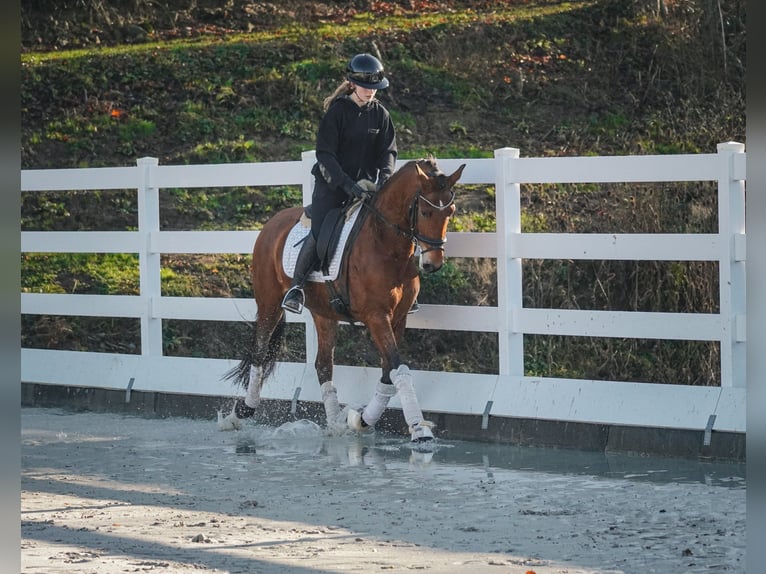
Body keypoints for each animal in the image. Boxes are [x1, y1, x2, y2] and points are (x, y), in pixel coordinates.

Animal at [218, 158, 468, 446]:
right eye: (426, 213)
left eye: (450, 211)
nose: (432, 264)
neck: (386, 244)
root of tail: (272, 222)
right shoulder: (376, 316)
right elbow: (399, 369)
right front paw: (419, 429)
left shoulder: (399, 317)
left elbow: (388, 373)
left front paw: (361, 420)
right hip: (269, 302)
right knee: (260, 353)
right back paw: (241, 413)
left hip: (323, 313)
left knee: (323, 365)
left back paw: (335, 424)